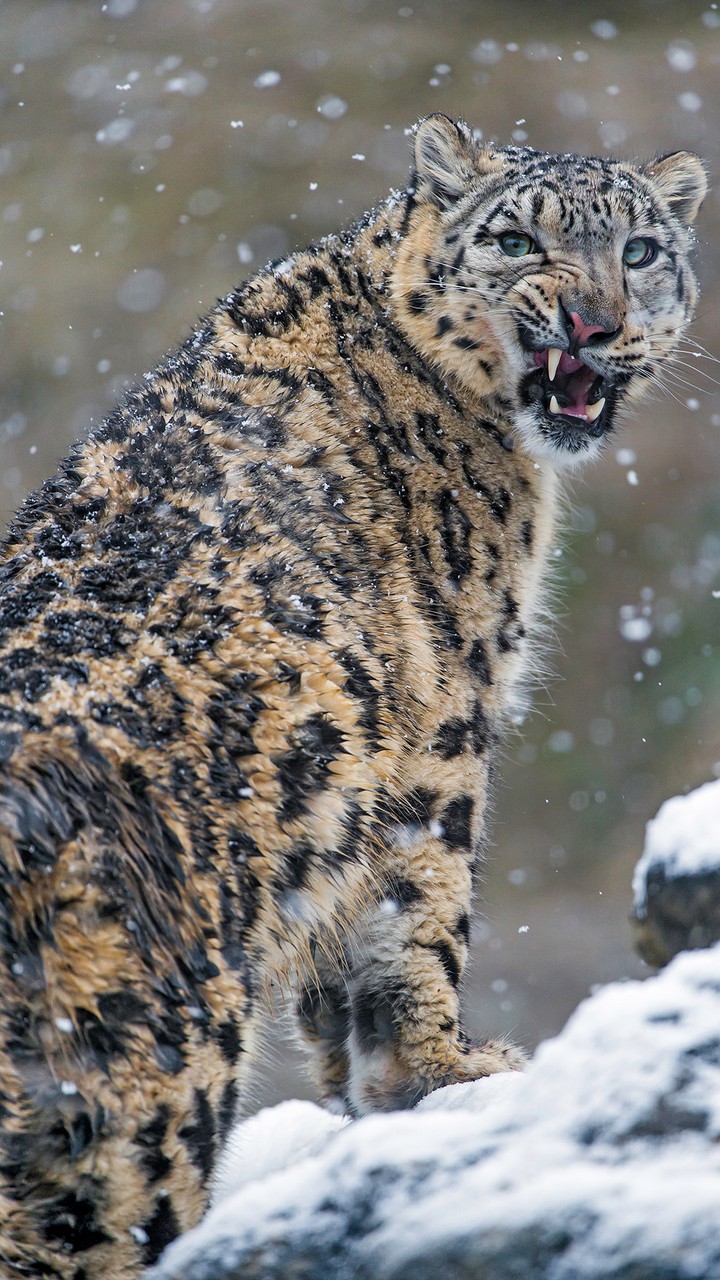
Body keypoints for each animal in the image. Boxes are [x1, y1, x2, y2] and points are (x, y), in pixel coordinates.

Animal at [0, 113, 706, 1278]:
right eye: (515, 238)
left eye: (641, 250)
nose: (594, 321)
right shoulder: (451, 714)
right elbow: (420, 904)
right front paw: (442, 1066)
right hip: (131, 1090)